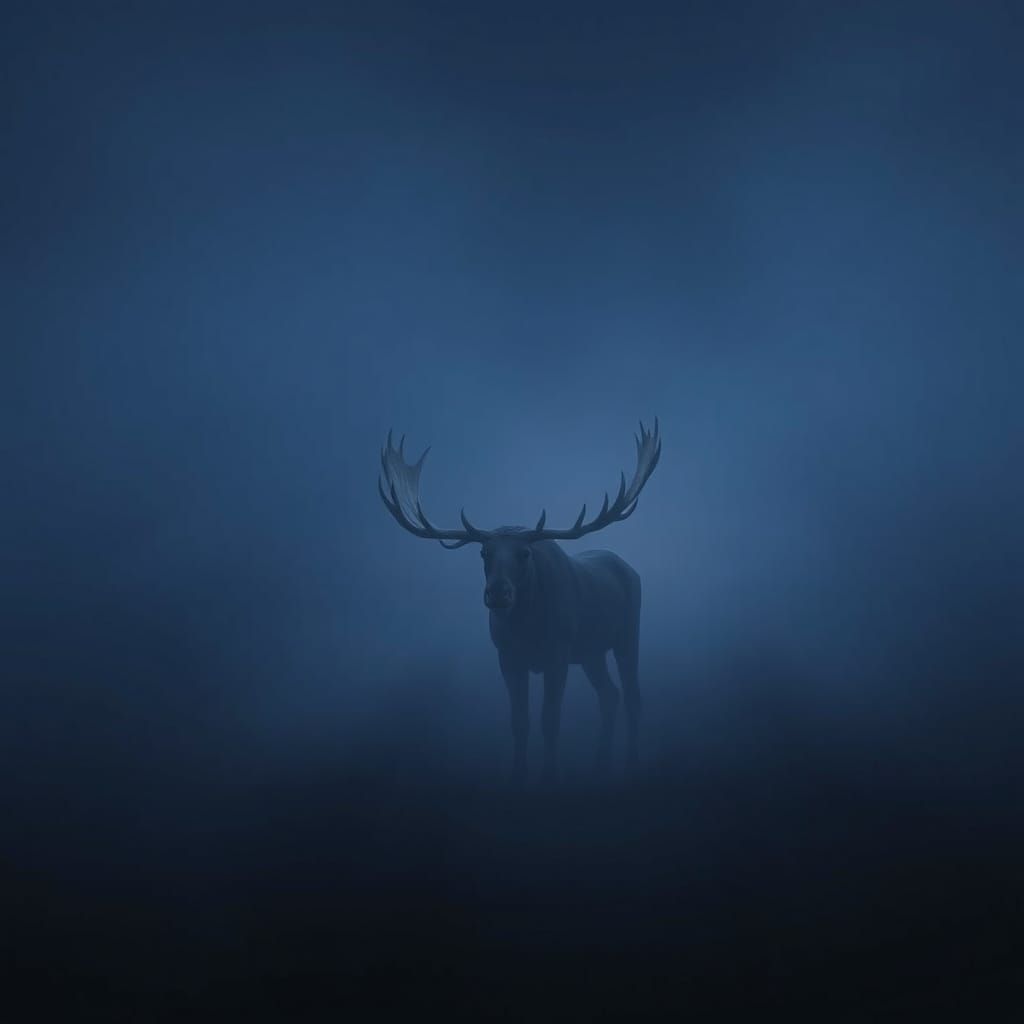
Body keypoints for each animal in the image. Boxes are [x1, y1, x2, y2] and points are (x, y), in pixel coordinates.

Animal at [378, 420, 661, 784]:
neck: (527, 628)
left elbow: (549, 721)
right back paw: (600, 764)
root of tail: (629, 568)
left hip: (626, 636)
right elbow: (520, 722)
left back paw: (630, 764)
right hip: (590, 652)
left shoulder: (557, 654)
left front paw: (550, 776)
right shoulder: (508, 657)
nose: (498, 593)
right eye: (484, 552)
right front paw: (518, 776)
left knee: (632, 698)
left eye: (525, 553)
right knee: (609, 695)